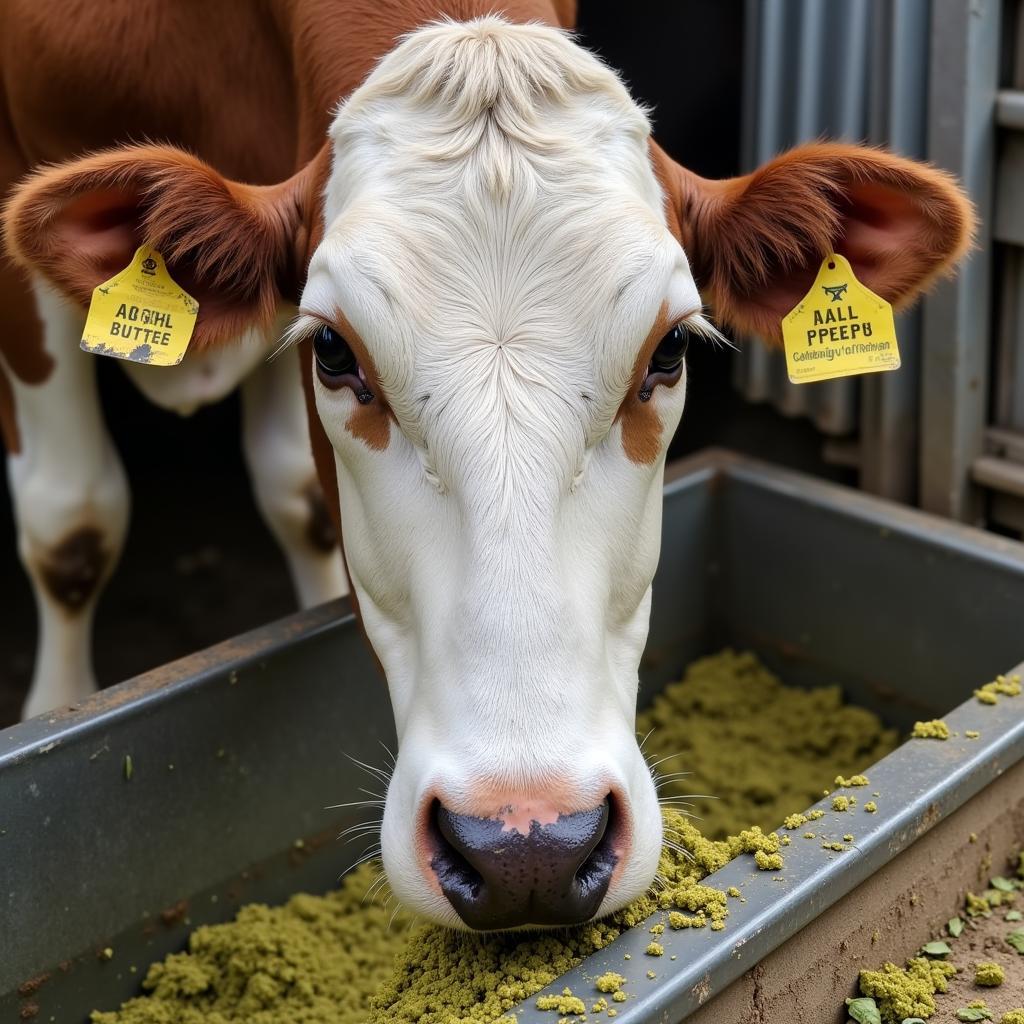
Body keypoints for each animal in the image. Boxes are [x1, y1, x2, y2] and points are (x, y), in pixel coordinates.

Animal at [2, 0, 974, 933]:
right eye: (333, 352)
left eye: (668, 352)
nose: (528, 849)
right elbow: (72, 523)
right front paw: (54, 703)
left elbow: (298, 496)